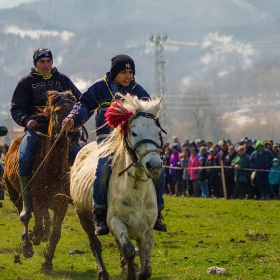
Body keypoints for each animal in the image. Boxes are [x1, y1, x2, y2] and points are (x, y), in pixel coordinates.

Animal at [70, 94, 164, 280]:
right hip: (84, 217)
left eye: (157, 132)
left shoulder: (147, 230)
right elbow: (128, 249)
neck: (135, 190)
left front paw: (133, 270)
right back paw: (103, 273)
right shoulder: (115, 221)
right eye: (134, 132)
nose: (154, 166)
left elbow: (146, 268)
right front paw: (130, 274)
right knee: (95, 244)